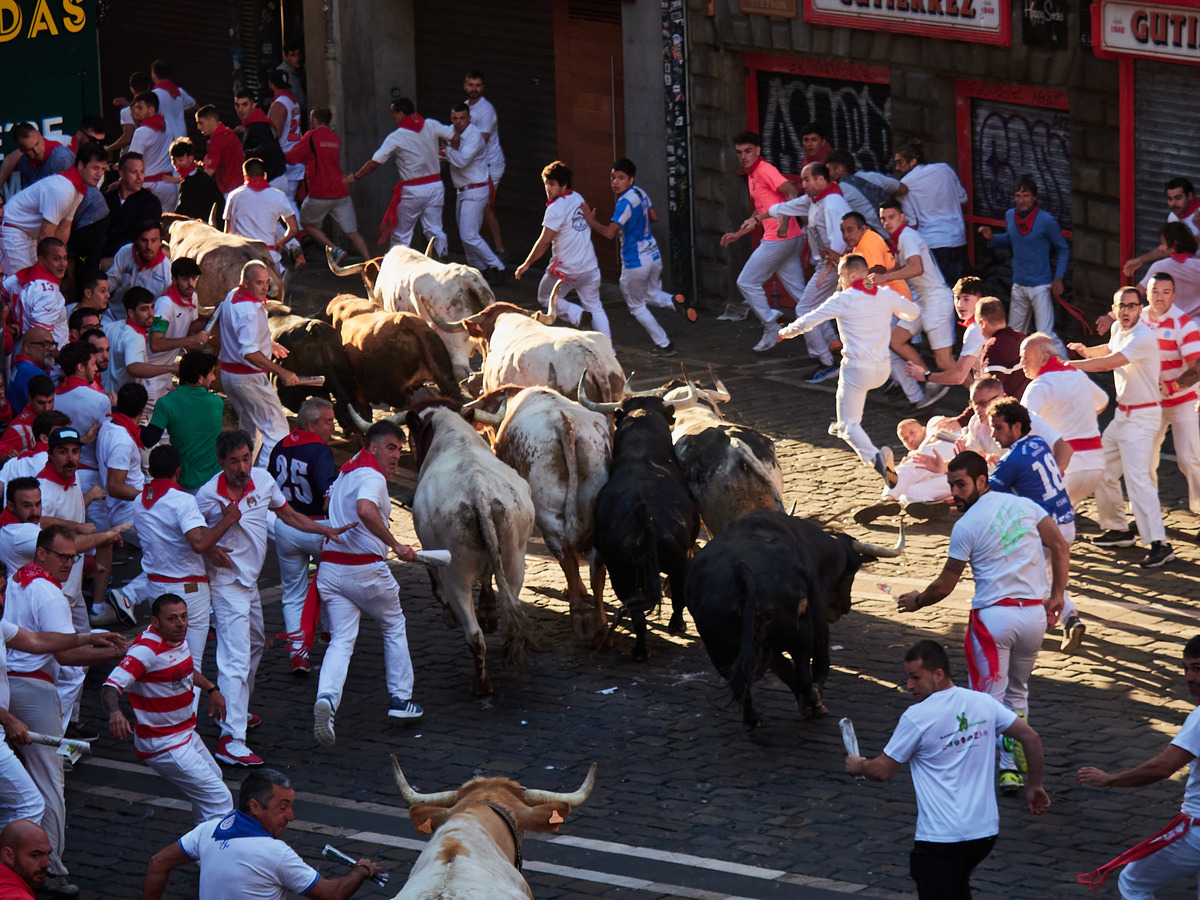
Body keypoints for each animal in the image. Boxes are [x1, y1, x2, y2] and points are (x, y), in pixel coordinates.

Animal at [408, 400, 535, 696]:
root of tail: (479, 491)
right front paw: (488, 610)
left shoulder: (431, 554)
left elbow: (437, 588)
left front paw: (449, 615)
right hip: (515, 559)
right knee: (512, 609)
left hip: (456, 572)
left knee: (474, 635)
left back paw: (480, 684)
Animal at [580, 374, 700, 662]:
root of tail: (644, 512)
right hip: (676, 561)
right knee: (677, 593)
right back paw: (672, 628)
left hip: (621, 571)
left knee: (635, 610)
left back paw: (639, 650)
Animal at [686, 511, 902, 729]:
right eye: (851, 574)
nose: (844, 607)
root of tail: (742, 570)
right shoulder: (817, 615)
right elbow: (819, 661)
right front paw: (813, 699)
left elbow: (784, 669)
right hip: (799, 631)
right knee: (803, 669)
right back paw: (814, 703)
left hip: (721, 648)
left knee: (742, 685)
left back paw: (754, 718)